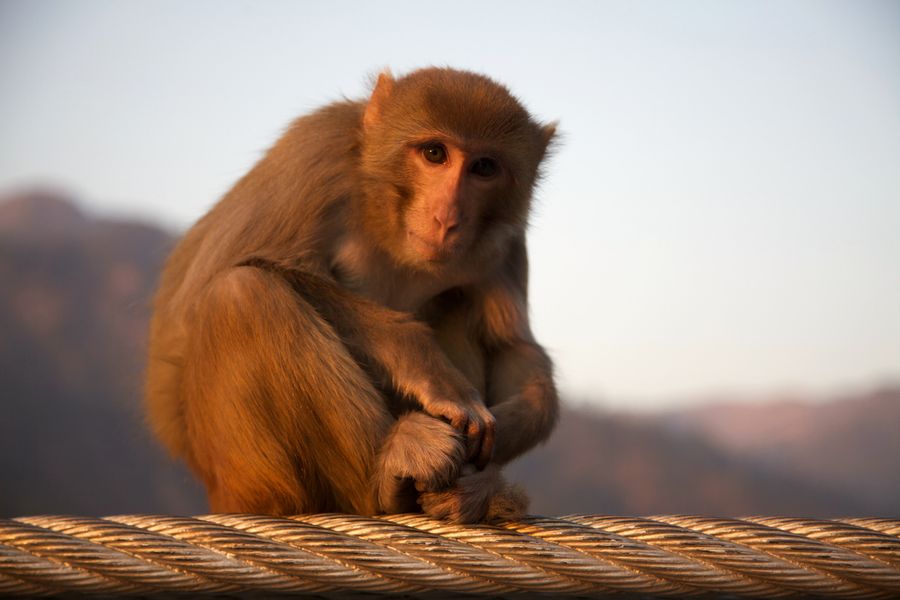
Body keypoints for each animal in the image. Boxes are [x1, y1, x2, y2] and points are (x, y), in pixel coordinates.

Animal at [145, 67, 558, 523]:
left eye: (484, 167)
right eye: (435, 154)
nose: (448, 217)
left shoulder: (506, 238)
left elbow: (512, 347)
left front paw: (506, 435)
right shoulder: (316, 151)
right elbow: (196, 293)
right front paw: (429, 367)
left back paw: (474, 492)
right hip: (247, 475)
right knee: (241, 295)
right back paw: (389, 474)